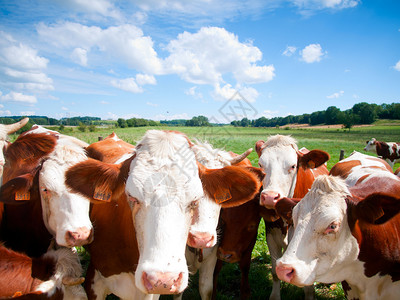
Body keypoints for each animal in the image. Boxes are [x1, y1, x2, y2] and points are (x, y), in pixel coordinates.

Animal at [252, 135, 330, 300]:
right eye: (261, 164)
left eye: (293, 166)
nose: (270, 197)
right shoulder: (271, 235)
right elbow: (275, 271)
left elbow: (308, 286)